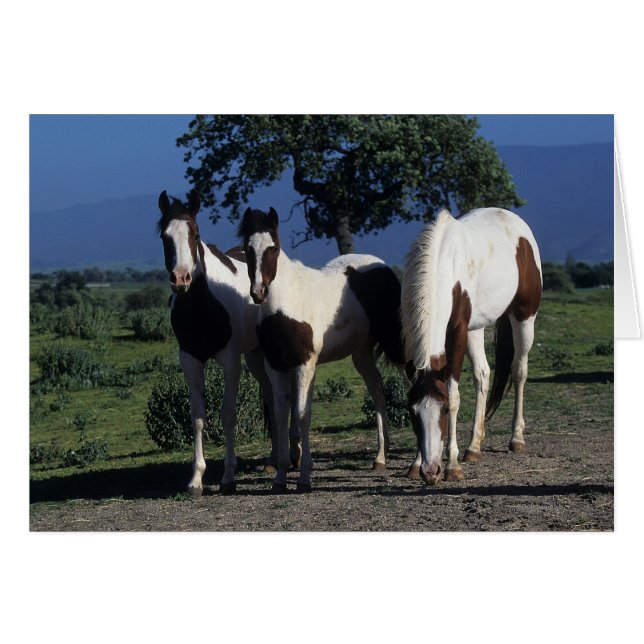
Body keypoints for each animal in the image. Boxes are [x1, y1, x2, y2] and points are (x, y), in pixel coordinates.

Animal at [157, 190, 280, 495]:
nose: (181, 278)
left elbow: (228, 414)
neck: (203, 305)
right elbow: (198, 416)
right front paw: (196, 479)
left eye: (195, 233)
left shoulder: (230, 360)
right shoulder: (190, 360)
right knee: (270, 397)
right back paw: (274, 460)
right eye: (165, 236)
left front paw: (228, 476)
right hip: (255, 356)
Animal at [238, 206, 406, 493]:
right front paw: (280, 477)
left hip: (397, 345)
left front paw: (305, 477)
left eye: (273, 248)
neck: (286, 303)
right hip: (362, 353)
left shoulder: (305, 363)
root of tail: (382, 267)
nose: (258, 292)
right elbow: (280, 415)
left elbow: (302, 414)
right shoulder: (275, 365)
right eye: (247, 249)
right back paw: (380, 458)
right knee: (378, 391)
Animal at [401, 207, 542, 485]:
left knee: (519, 370)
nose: (431, 471)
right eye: (412, 412)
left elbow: (454, 393)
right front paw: (415, 463)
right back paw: (474, 447)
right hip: (476, 328)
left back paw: (516, 438)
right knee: (483, 374)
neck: (442, 265)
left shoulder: (457, 330)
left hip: (524, 317)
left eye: (444, 410)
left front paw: (452, 466)